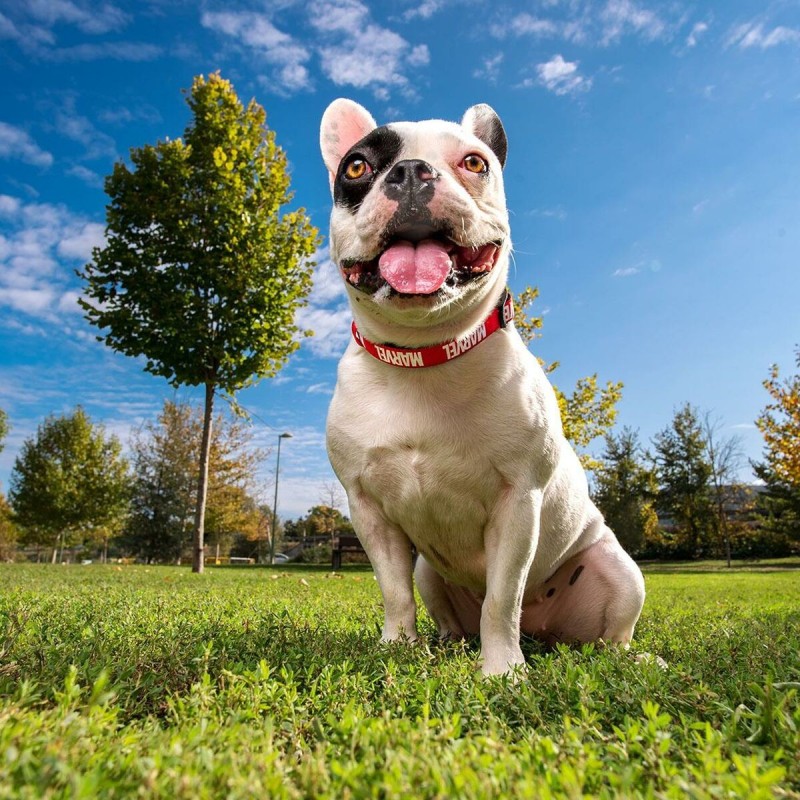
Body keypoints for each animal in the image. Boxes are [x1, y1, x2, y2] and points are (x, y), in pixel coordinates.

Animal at [318, 98, 644, 676]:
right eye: (356, 167)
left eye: (475, 163)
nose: (411, 171)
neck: (424, 354)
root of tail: (543, 631)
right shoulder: (368, 509)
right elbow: (393, 591)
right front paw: (396, 647)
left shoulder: (519, 503)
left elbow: (502, 598)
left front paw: (503, 671)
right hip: (430, 573)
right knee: (440, 607)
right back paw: (445, 644)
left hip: (621, 571)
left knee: (608, 634)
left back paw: (634, 659)